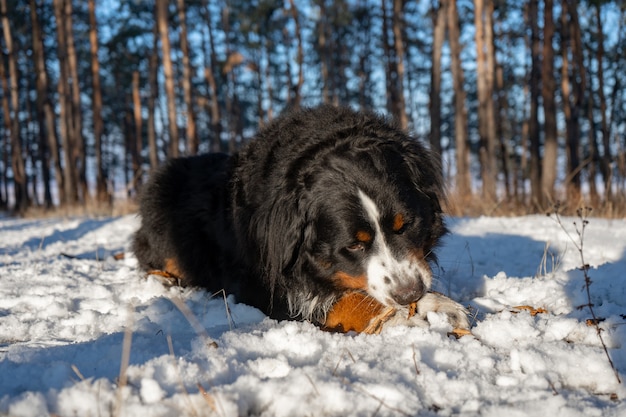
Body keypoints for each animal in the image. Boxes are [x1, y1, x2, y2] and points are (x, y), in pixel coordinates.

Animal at [135, 105, 468, 334]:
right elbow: (340, 301)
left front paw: (438, 304)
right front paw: (399, 318)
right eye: (354, 246)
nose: (409, 292)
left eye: (406, 225)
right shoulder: (263, 284)